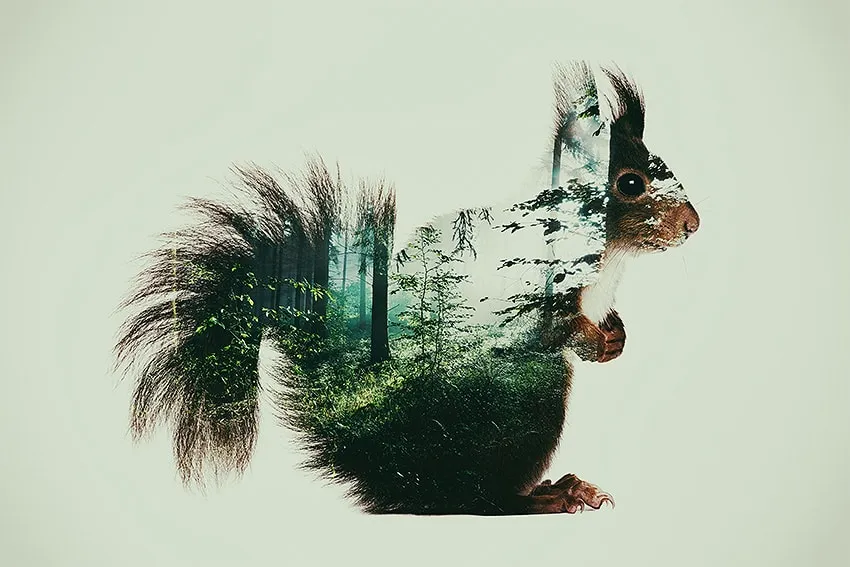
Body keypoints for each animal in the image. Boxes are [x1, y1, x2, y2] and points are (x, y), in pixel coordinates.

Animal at [114, 61, 700, 516]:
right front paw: (594, 340)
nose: (693, 224)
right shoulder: (537, 281)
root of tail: (403, 470)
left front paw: (615, 336)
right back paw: (546, 496)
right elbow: (555, 325)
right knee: (472, 496)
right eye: (630, 183)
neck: (612, 258)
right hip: (528, 398)